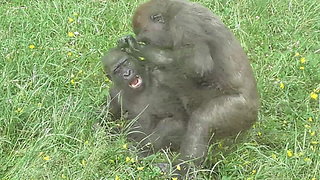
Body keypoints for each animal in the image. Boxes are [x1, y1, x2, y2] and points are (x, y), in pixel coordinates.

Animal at [120, 0, 260, 167]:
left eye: (145, 41)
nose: (144, 43)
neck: (171, 12)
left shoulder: (184, 23)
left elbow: (197, 65)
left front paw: (144, 51)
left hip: (242, 110)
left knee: (201, 121)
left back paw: (183, 167)